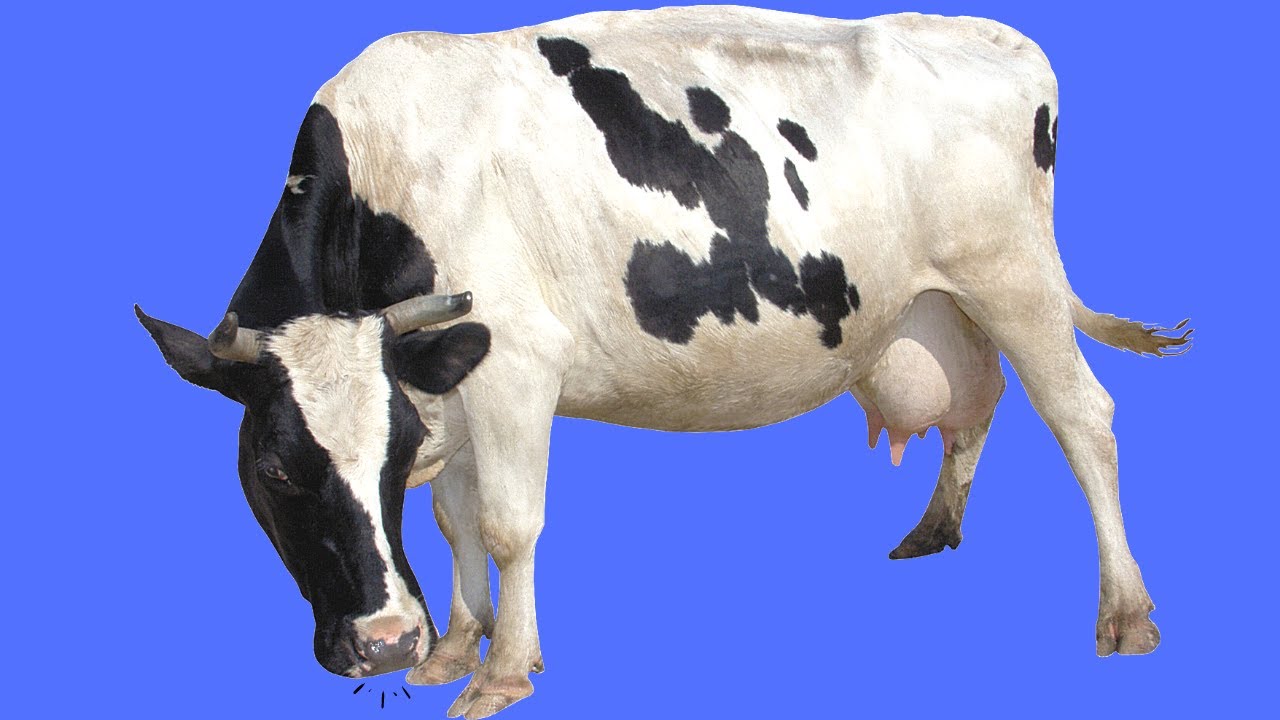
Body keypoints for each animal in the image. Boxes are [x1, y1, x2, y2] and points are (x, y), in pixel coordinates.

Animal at [137, 6, 1191, 719]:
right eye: (276, 469)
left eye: (386, 459)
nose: (388, 642)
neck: (380, 182)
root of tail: (995, 33)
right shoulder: (447, 381)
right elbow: (456, 520)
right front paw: (457, 648)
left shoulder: (515, 362)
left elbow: (508, 524)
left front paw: (504, 670)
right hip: (943, 304)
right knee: (977, 403)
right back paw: (934, 528)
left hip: (1013, 276)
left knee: (1082, 416)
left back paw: (1126, 612)